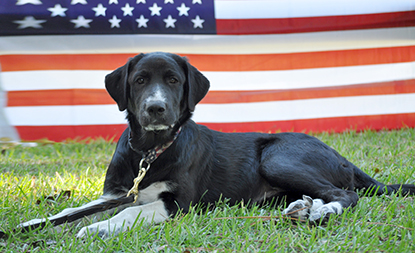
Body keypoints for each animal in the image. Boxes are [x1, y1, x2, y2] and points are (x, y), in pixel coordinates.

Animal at [20, 52, 415, 239]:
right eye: (140, 80)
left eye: (174, 80)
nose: (155, 108)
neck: (150, 150)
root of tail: (343, 158)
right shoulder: (115, 193)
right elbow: (71, 210)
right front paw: (33, 222)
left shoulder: (177, 204)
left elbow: (129, 213)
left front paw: (99, 228)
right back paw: (304, 207)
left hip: (278, 158)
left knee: (346, 194)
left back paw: (321, 211)